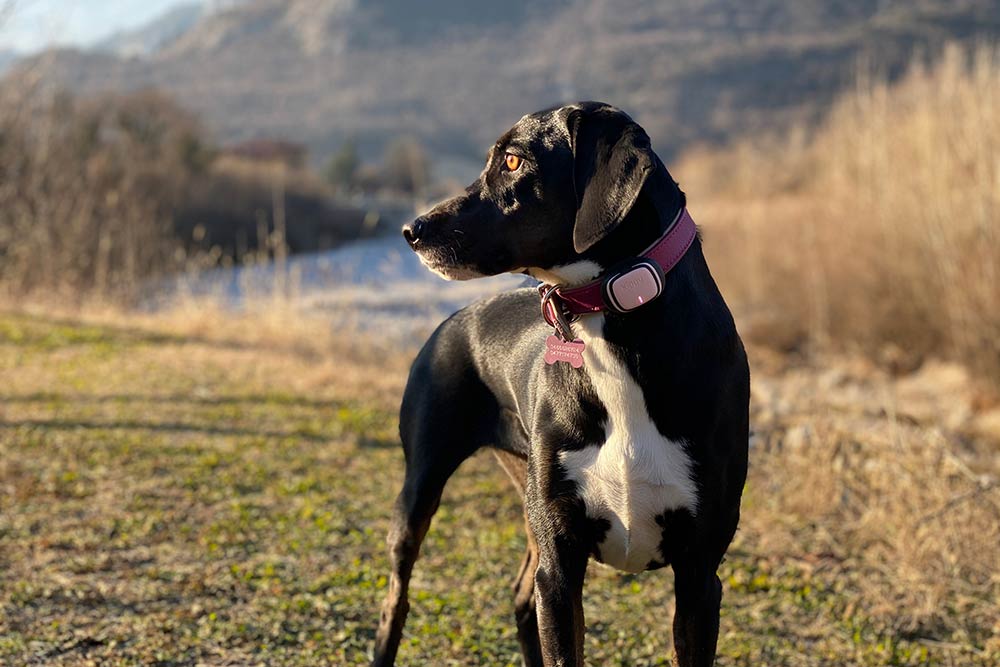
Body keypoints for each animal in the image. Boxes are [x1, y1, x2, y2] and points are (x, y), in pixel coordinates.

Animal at [372, 100, 748, 667]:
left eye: (512, 161)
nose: (410, 230)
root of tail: (455, 319)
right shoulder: (561, 565)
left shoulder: (700, 575)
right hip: (421, 488)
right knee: (397, 598)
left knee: (520, 598)